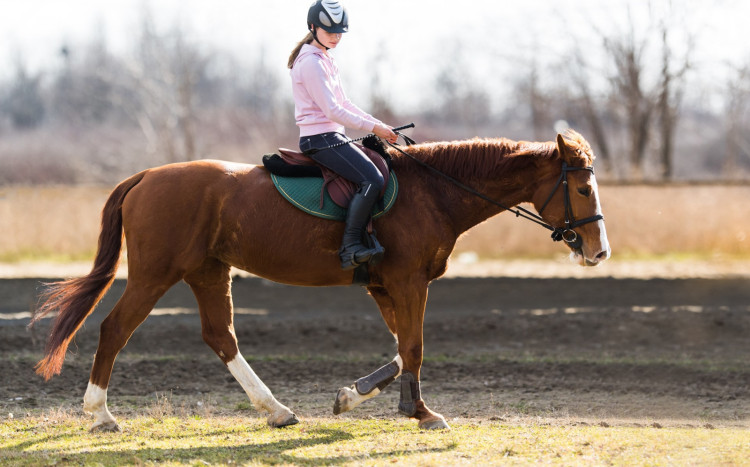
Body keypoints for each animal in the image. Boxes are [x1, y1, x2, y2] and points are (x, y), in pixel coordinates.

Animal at [32, 130, 612, 434]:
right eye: (583, 188)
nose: (599, 251)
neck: (433, 192)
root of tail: (146, 176)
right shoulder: (408, 282)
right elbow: (415, 346)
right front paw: (420, 412)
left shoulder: (386, 286)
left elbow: (402, 346)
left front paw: (352, 396)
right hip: (156, 274)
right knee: (114, 329)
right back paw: (99, 415)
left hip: (208, 271)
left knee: (221, 337)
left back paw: (276, 411)